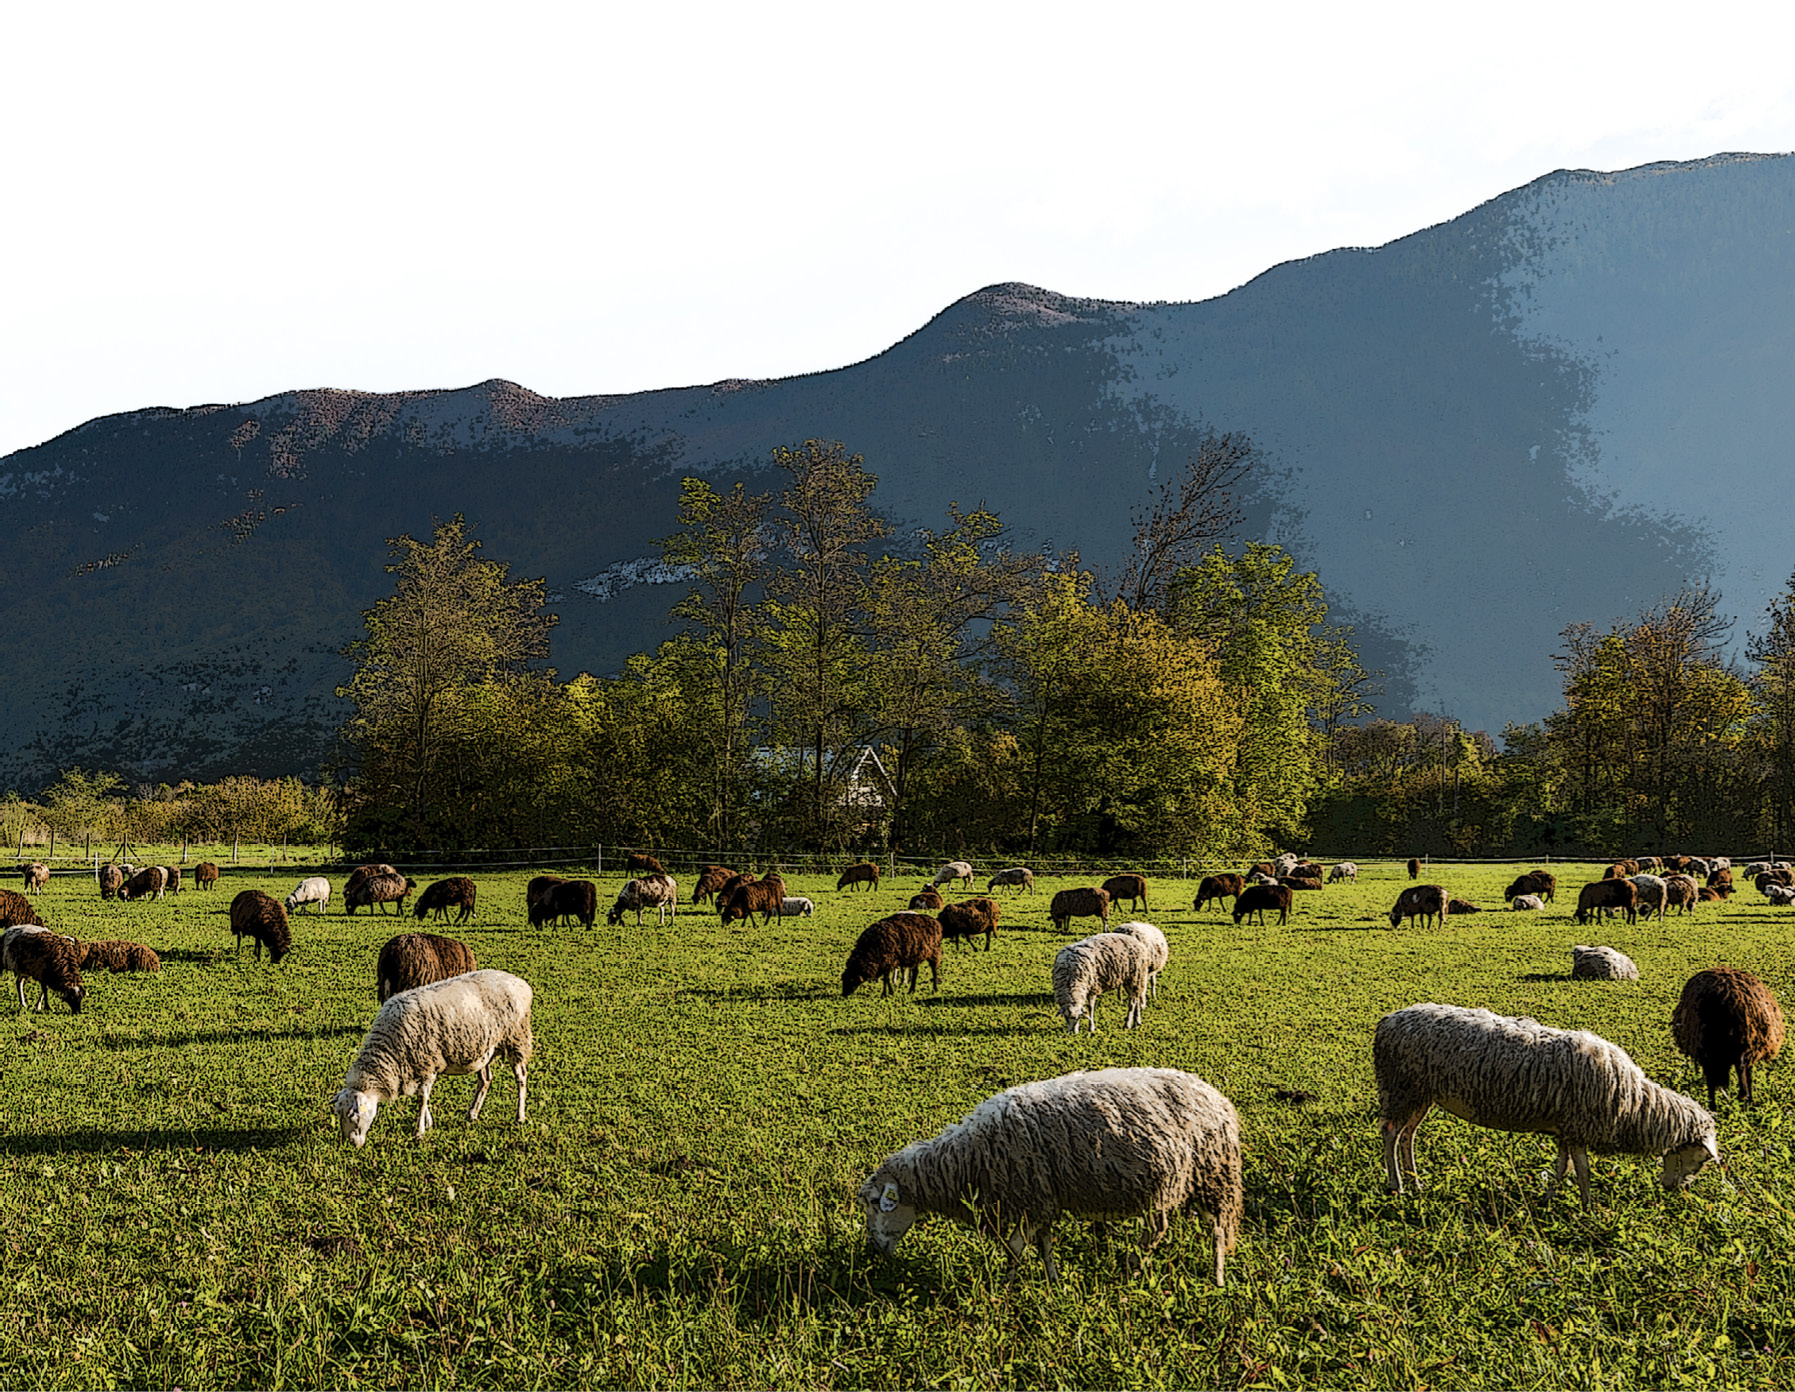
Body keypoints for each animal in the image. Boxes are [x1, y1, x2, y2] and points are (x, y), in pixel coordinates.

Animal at [331, 969, 533, 1145]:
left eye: (353, 1115)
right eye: (338, 1114)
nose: (351, 1144)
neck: (389, 1050)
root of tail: (521, 983)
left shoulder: (427, 1064)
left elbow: (422, 1098)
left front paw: (419, 1131)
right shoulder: (419, 1066)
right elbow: (424, 1097)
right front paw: (428, 1122)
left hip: (516, 1039)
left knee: (521, 1077)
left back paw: (520, 1116)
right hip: (485, 1048)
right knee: (485, 1079)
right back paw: (472, 1113)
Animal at [858, 1067, 1242, 1287]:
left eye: (878, 1203)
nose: (875, 1249)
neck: (968, 1158)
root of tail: (1215, 1097)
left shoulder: (1029, 1196)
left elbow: (1015, 1247)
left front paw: (1004, 1283)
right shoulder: (1041, 1198)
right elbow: (1043, 1244)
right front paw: (1051, 1279)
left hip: (1206, 1176)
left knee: (1204, 1230)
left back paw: (1206, 1277)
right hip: (1191, 1182)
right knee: (1186, 1227)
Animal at [1375, 1002, 1718, 1209]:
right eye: (1701, 1157)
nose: (1674, 1189)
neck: (1635, 1105)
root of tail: (1388, 1021)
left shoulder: (1566, 1129)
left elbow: (1562, 1166)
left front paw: (1550, 1198)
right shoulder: (1578, 1127)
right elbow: (1582, 1169)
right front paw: (1588, 1207)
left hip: (1420, 1093)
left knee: (1408, 1136)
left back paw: (1415, 1181)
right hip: (1400, 1087)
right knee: (1391, 1133)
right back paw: (1396, 1185)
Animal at [1672, 967, 1786, 1109]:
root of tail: (1736, 1001)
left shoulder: (1706, 1053)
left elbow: (1710, 1080)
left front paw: (1712, 1106)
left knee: (1738, 1066)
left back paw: (1741, 1096)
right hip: (1749, 1041)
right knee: (1744, 1067)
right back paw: (1747, 1099)